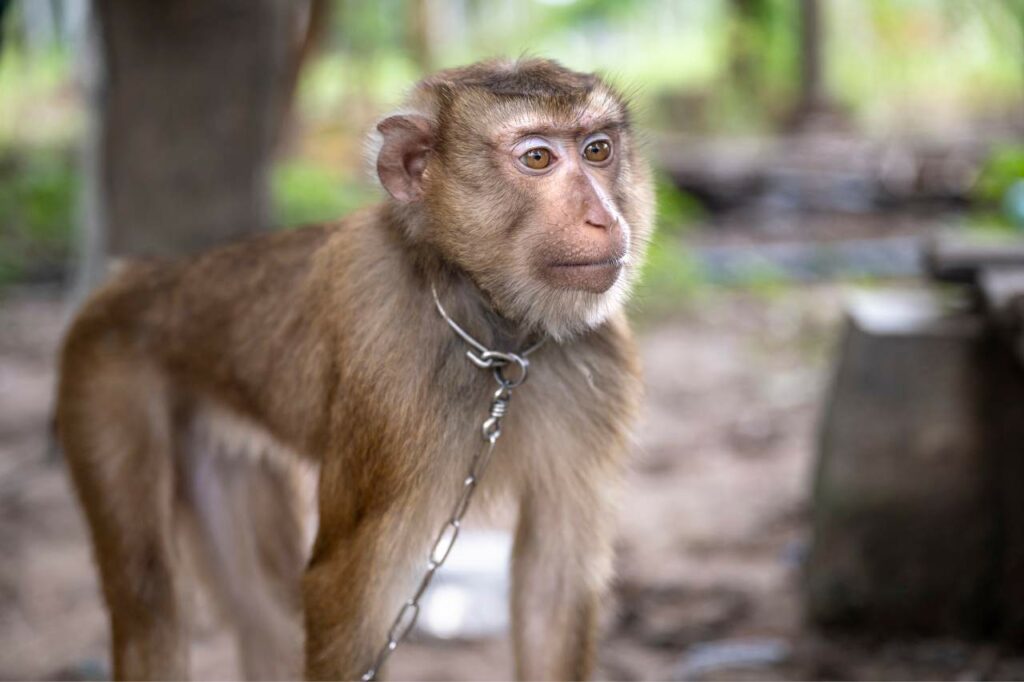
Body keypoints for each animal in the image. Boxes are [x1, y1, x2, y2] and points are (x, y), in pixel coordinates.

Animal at [56, 58, 654, 681]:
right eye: (537, 158)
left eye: (597, 149)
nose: (603, 218)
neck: (493, 333)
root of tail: (132, 278)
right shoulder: (392, 391)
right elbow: (343, 595)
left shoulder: (601, 362)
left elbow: (552, 588)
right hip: (101, 376)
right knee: (148, 600)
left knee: (264, 610)